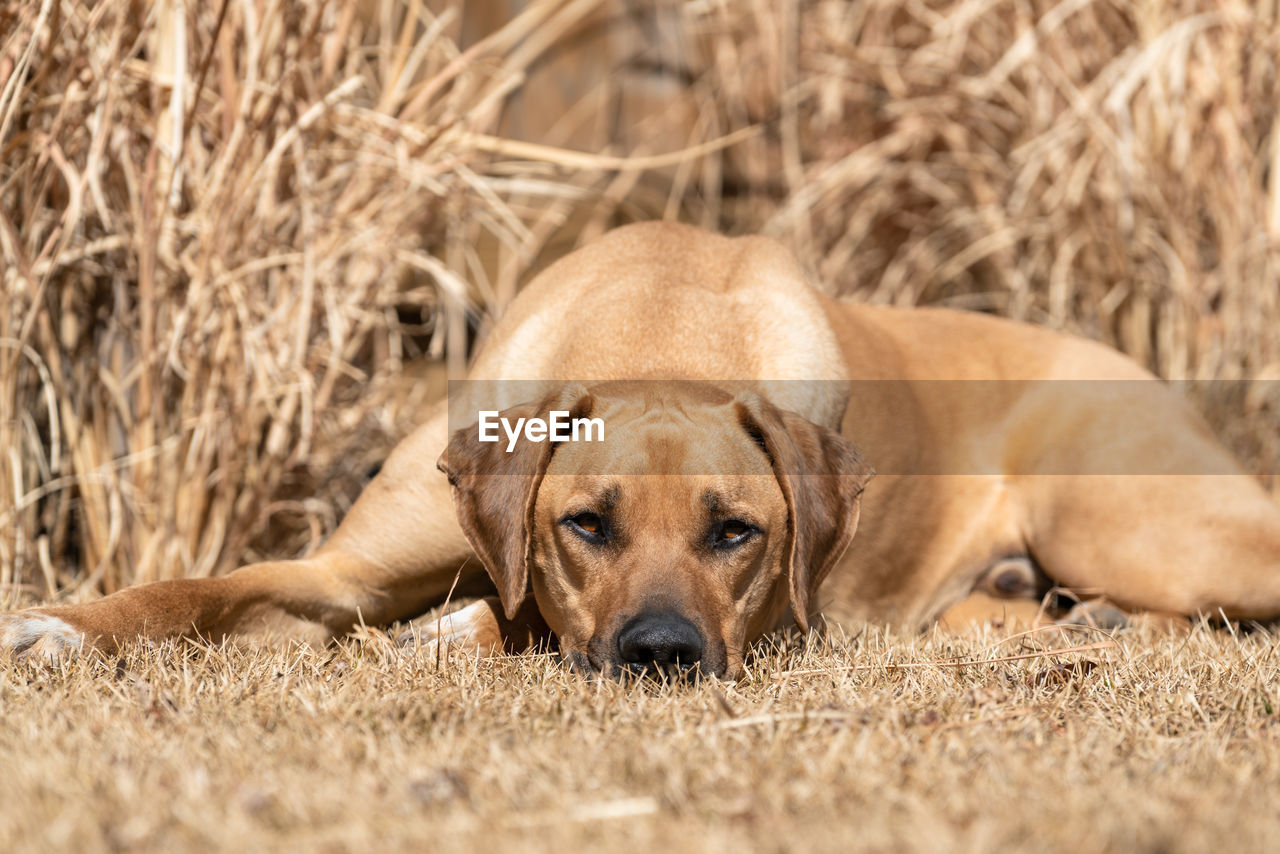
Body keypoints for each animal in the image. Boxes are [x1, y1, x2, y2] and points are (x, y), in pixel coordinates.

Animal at [2, 224, 1280, 676]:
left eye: (737, 532)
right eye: (585, 522)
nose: (661, 652)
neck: (658, 323)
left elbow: (496, 620)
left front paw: (454, 632)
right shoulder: (340, 571)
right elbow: (192, 588)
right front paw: (60, 622)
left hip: (1128, 517)